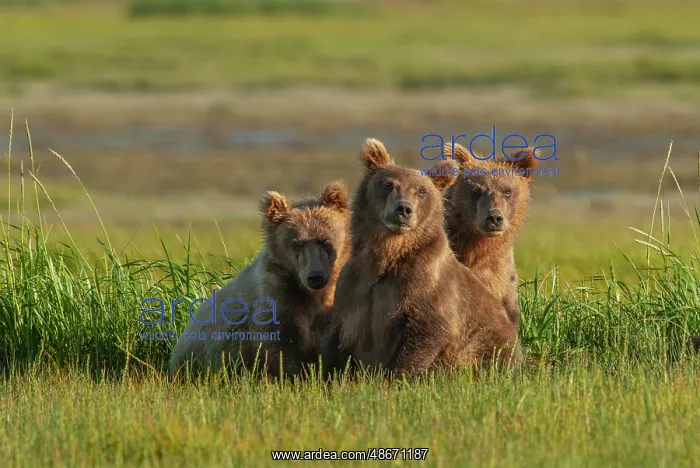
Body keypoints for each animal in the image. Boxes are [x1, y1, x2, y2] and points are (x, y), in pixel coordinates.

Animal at [168, 181, 351, 379]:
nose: (315, 276)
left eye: (325, 240)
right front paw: (292, 377)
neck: (311, 295)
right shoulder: (277, 298)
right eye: (296, 244)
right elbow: (281, 346)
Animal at [320, 138, 520, 379]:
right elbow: (337, 338)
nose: (403, 209)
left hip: (489, 343)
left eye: (422, 190)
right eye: (388, 184)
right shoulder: (354, 286)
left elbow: (428, 330)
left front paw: (395, 377)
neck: (388, 252)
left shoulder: (423, 282)